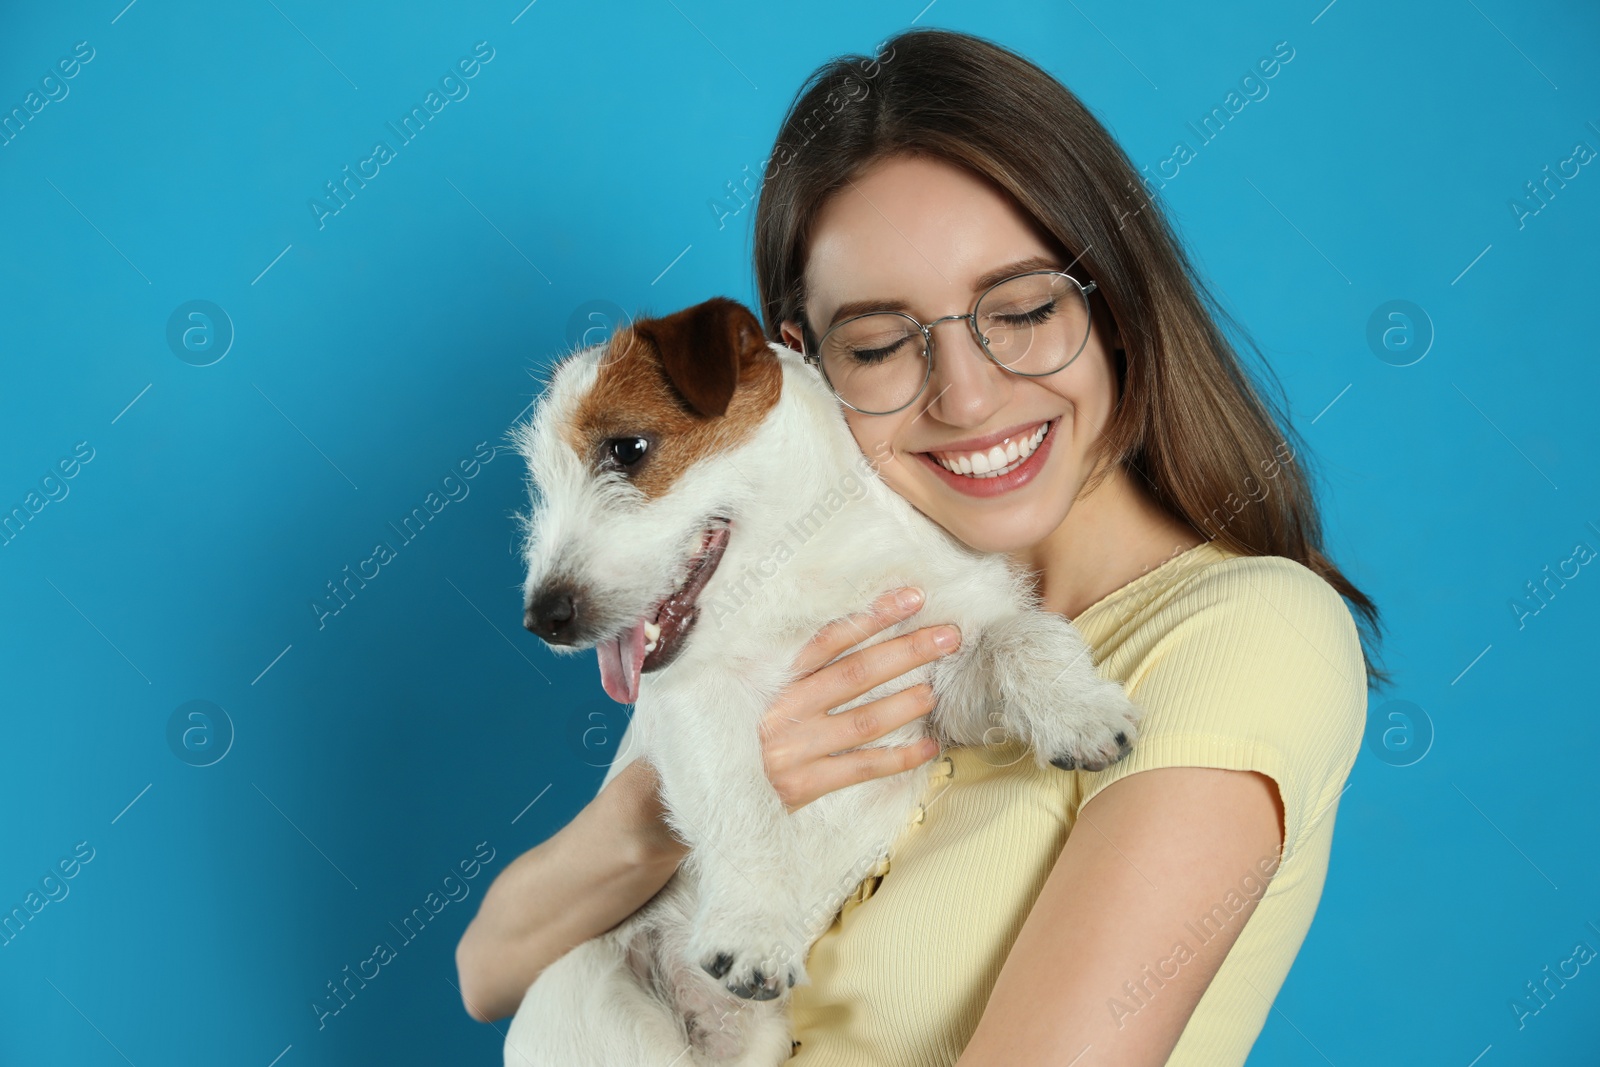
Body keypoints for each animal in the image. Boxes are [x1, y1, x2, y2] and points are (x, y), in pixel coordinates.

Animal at [499, 294, 1139, 1067]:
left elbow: (1025, 636)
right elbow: (744, 800)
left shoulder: (938, 677)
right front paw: (752, 930)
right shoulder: (697, 699)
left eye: (626, 449)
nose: (542, 617)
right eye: (542, 483)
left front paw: (1079, 710)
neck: (800, 565)